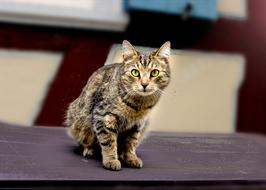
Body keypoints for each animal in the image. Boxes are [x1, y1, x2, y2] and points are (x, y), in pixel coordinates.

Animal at [65, 40, 171, 171]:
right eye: (135, 72)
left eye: (154, 72)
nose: (144, 84)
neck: (138, 105)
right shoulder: (103, 116)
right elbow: (108, 141)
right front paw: (111, 160)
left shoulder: (138, 124)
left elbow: (131, 143)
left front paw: (130, 157)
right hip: (78, 121)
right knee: (84, 141)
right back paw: (89, 150)